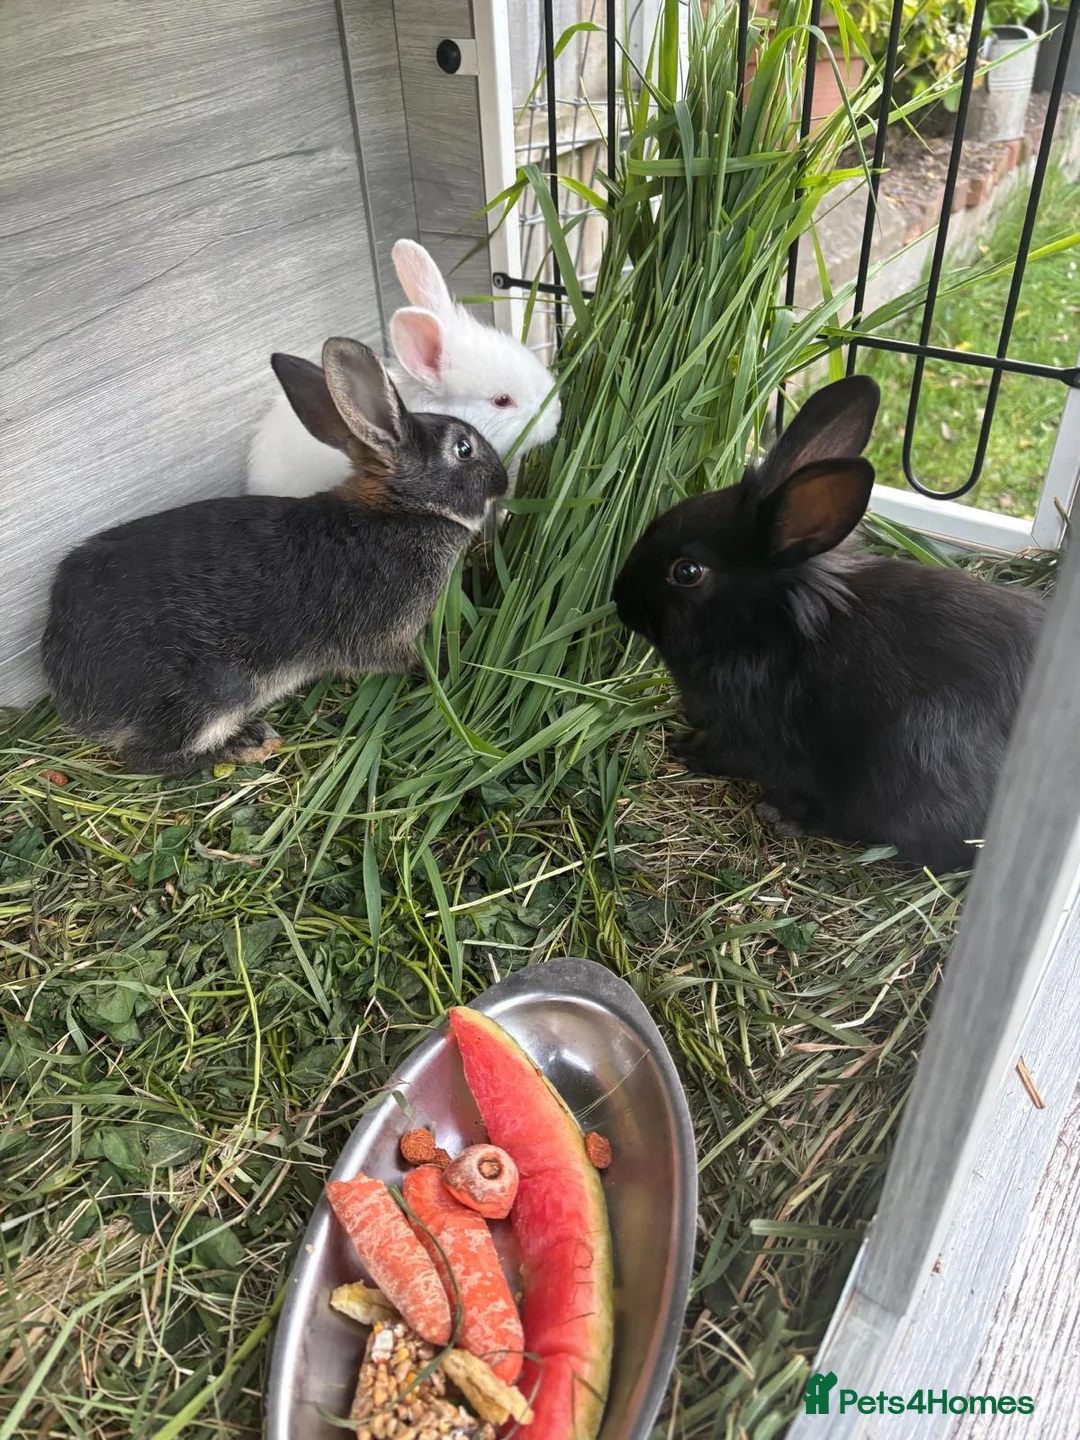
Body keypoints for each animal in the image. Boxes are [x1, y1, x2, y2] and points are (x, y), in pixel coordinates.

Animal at [41, 338, 508, 776]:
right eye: (463, 449)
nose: (502, 480)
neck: (402, 507)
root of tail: (69, 687)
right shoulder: (387, 633)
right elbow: (402, 657)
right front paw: (451, 659)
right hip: (217, 691)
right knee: (147, 758)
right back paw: (247, 743)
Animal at [612, 375, 1045, 873]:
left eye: (686, 572)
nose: (618, 599)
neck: (765, 626)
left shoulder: (747, 729)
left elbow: (725, 752)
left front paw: (683, 747)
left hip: (907, 761)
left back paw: (787, 813)